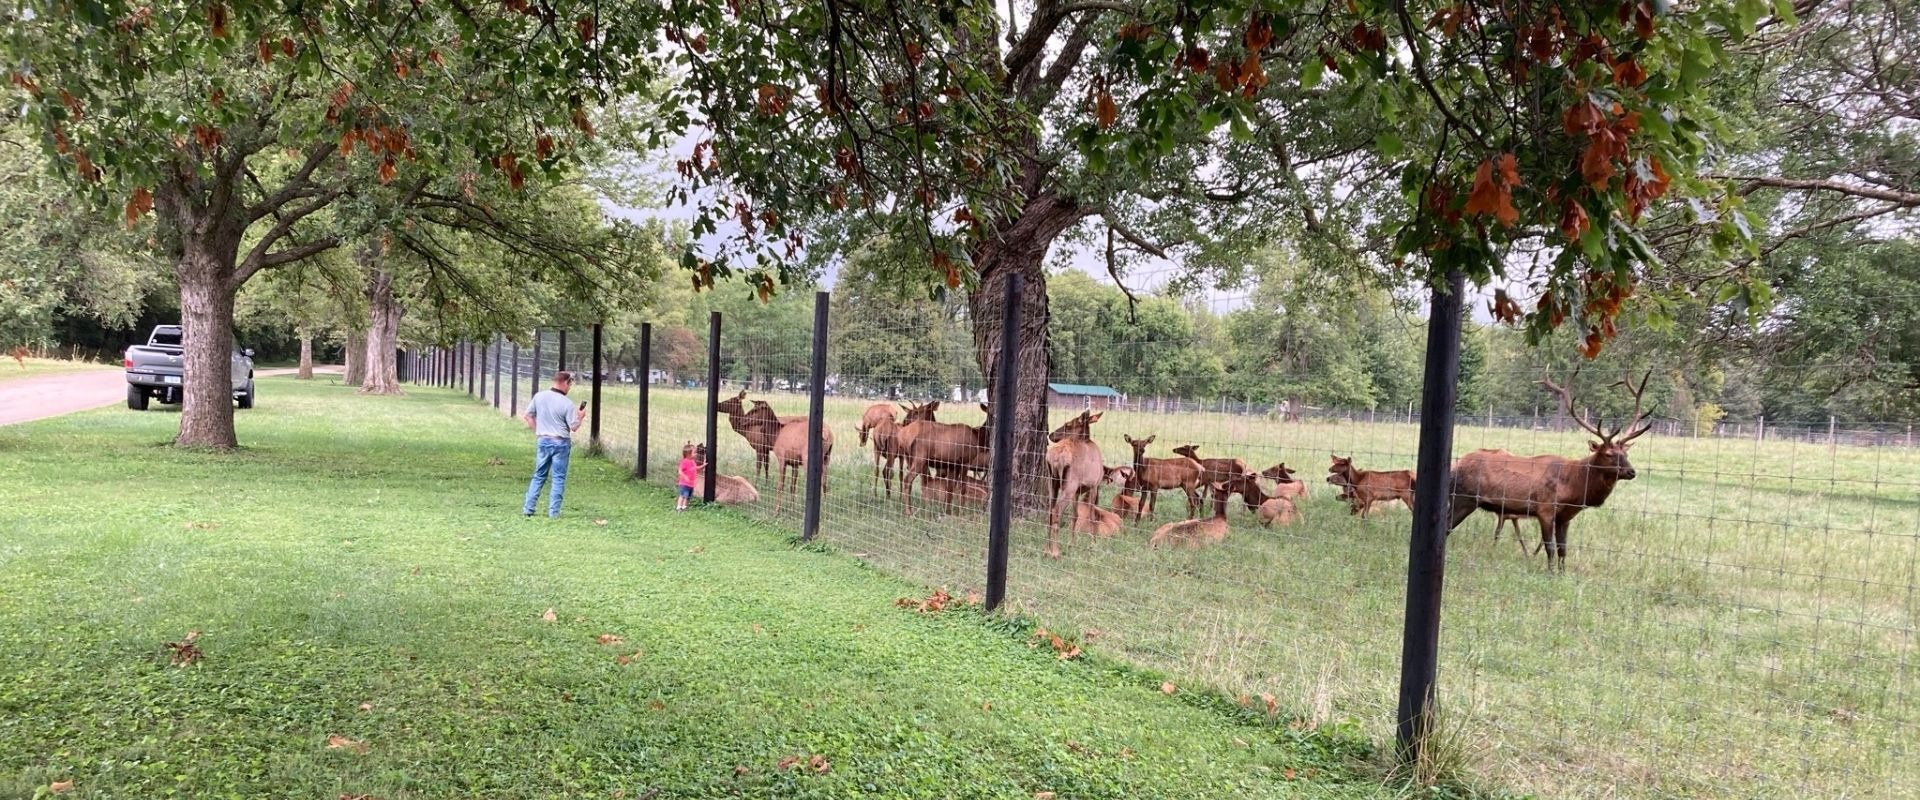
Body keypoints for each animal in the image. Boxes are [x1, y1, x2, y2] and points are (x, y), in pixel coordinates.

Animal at [1052, 410, 1113, 556]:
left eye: (1068, 424)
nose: (1050, 435)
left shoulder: (1077, 492)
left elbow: (1075, 516)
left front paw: (1071, 544)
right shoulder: (1094, 485)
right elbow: (1092, 516)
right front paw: (1093, 544)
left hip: (1055, 482)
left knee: (1051, 509)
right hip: (1070, 485)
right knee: (1056, 510)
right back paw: (1055, 551)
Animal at [1443, 368, 1658, 567]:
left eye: (1626, 454)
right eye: (1609, 454)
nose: (1631, 472)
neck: (1574, 489)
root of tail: (1455, 466)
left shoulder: (1565, 517)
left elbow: (1563, 550)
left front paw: (1561, 574)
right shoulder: (1545, 509)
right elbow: (1550, 548)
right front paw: (1550, 572)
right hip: (1464, 498)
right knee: (1446, 526)